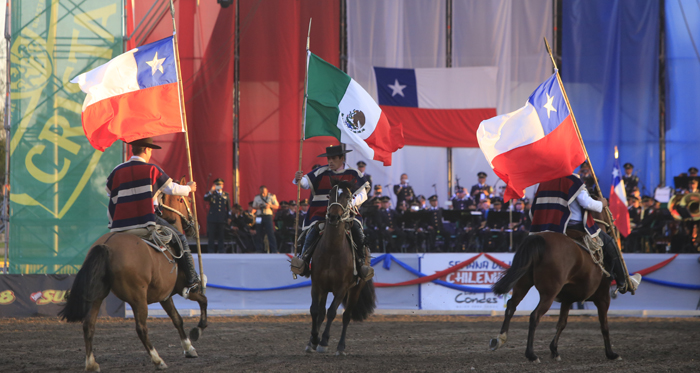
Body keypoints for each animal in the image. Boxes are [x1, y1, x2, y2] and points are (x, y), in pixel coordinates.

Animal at [59, 179, 208, 370]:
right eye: (186, 200)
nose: (195, 227)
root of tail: (107, 246)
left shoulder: (165, 296)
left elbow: (177, 319)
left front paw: (189, 348)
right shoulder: (183, 288)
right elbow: (203, 300)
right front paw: (198, 330)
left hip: (97, 295)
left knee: (88, 325)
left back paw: (91, 363)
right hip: (138, 298)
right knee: (141, 328)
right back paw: (158, 360)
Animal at [306, 180, 378, 354]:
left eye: (347, 196)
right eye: (330, 195)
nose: (333, 216)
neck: (332, 250)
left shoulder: (342, 288)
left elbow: (333, 312)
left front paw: (324, 341)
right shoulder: (317, 284)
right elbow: (315, 310)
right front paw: (313, 340)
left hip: (355, 289)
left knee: (346, 316)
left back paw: (340, 347)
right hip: (326, 289)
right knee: (321, 312)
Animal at [490, 205, 620, 362]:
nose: (613, 225)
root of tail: (540, 239)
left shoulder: (568, 299)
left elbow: (562, 323)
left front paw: (554, 350)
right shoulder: (603, 298)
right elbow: (604, 326)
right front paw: (611, 353)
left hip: (522, 284)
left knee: (511, 306)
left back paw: (499, 340)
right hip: (549, 293)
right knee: (534, 316)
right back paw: (531, 354)